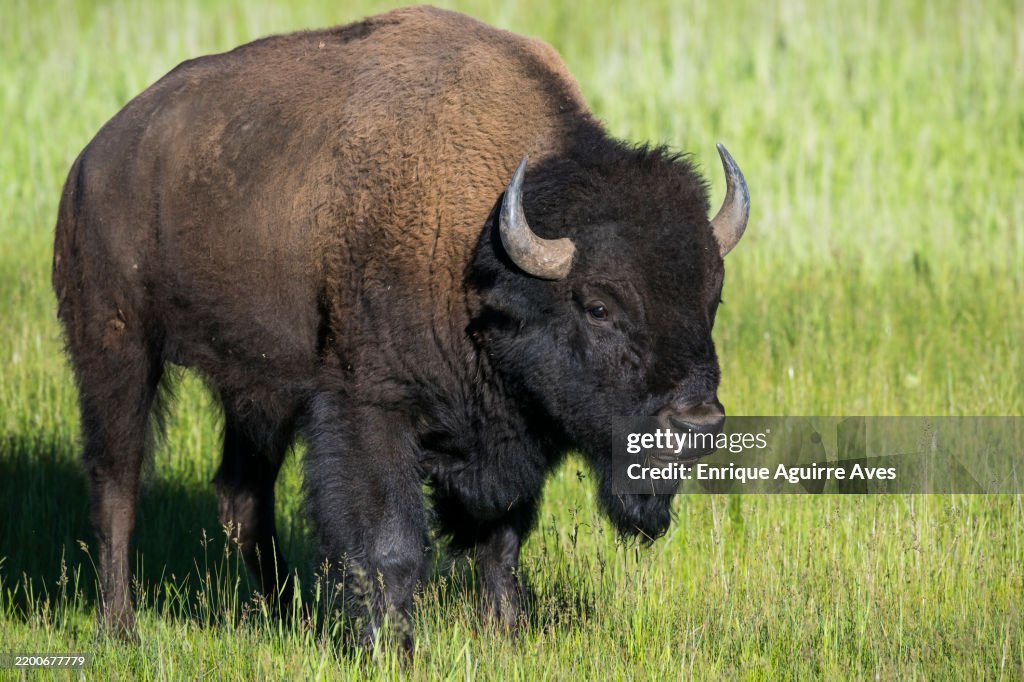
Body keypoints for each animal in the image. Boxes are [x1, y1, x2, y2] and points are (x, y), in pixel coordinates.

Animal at [52, 5, 748, 648]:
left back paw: (286, 616)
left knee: (242, 496)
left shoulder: (506, 433)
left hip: (255, 390)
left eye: (710, 297)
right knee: (117, 484)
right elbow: (391, 544)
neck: (481, 247)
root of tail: (92, 159)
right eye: (599, 306)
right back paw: (120, 629)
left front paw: (506, 633)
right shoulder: (371, 409)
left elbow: (502, 539)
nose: (698, 423)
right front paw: (394, 647)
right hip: (115, 347)